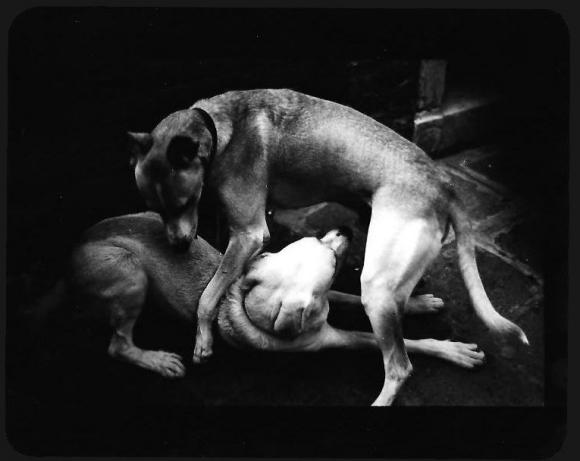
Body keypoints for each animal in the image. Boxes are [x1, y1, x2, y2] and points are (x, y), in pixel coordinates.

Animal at [40, 210, 482, 380]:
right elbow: (397, 342)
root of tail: (68, 257)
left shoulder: (329, 302)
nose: (346, 229)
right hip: (129, 271)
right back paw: (157, 360)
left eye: (319, 240)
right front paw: (455, 351)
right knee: (117, 344)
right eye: (329, 257)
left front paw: (419, 304)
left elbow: (354, 298)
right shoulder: (332, 338)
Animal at [129, 88, 528, 404]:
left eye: (183, 203)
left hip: (376, 288)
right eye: (155, 208)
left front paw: (203, 340)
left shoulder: (249, 235)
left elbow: (209, 294)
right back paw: (423, 306)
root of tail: (444, 185)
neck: (221, 127)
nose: (179, 248)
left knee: (399, 366)